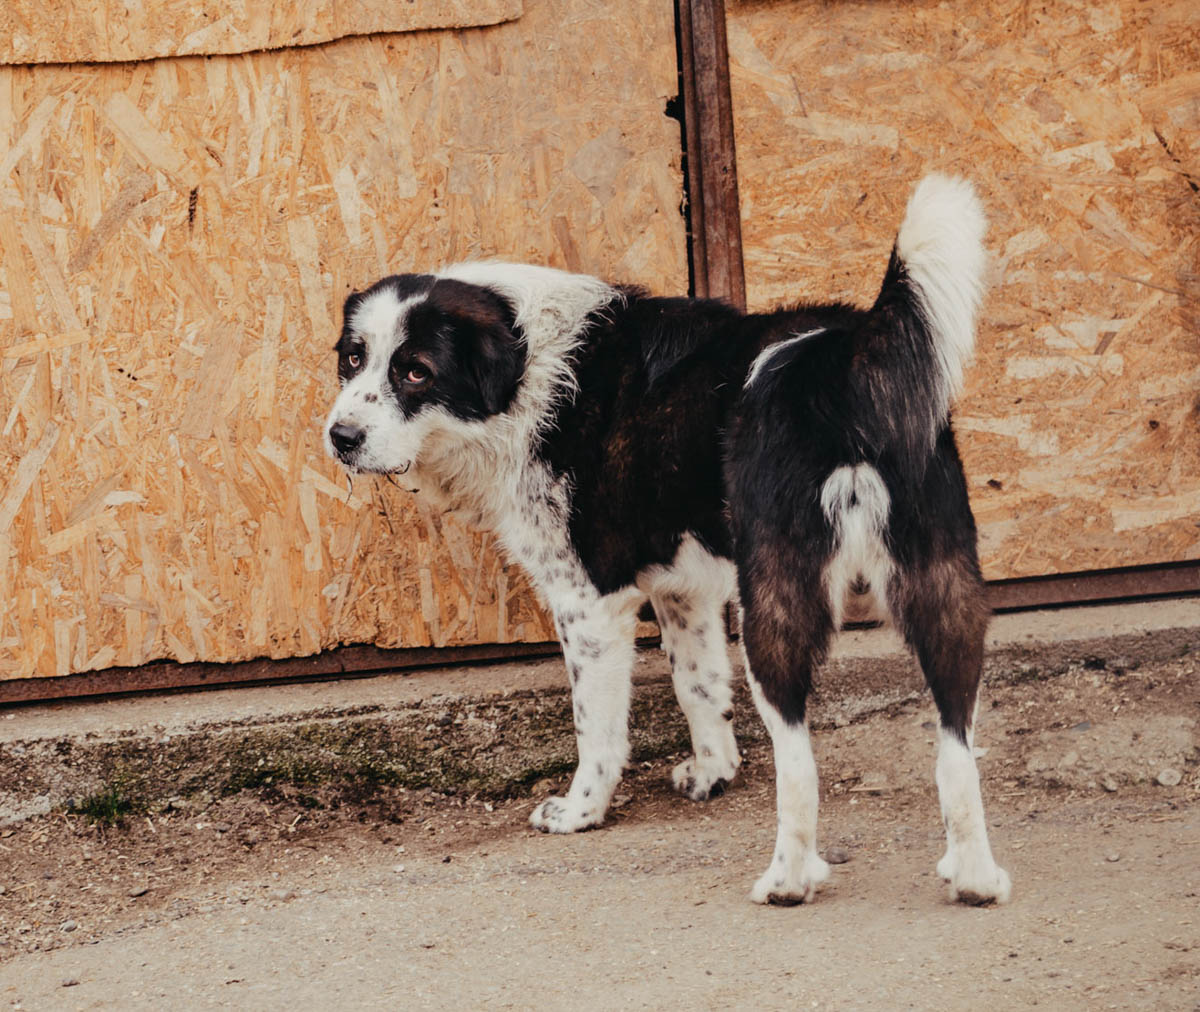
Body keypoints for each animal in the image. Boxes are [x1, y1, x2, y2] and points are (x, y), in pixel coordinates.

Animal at [323, 174, 1011, 906]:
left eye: (415, 371)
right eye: (353, 359)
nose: (340, 437)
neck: (528, 369)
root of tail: (847, 352)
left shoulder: (589, 602)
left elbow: (596, 726)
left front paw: (582, 810)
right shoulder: (686, 593)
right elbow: (698, 685)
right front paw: (713, 772)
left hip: (777, 601)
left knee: (799, 762)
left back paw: (787, 880)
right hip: (942, 588)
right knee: (955, 746)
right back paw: (975, 877)